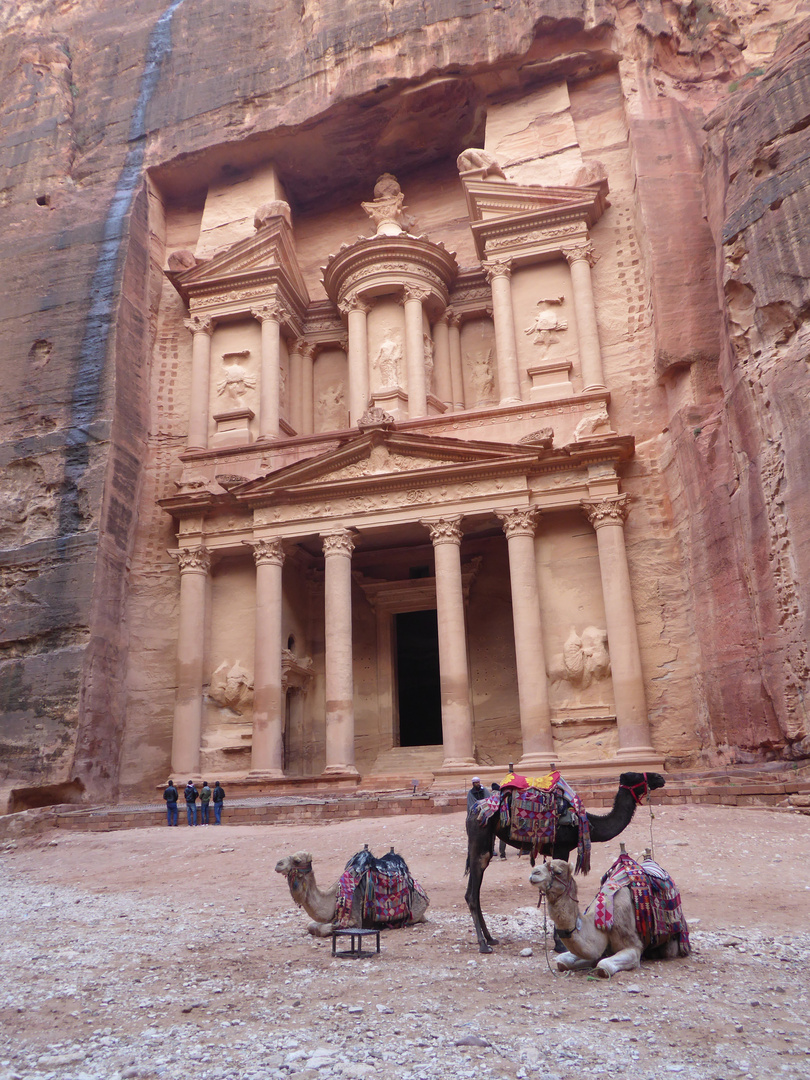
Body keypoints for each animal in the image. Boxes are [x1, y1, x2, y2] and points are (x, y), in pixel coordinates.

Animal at [276, 851, 432, 937]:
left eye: (297, 860)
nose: (278, 864)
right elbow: (311, 925)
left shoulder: (355, 919)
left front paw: (333, 927)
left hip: (414, 913)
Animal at [462, 768, 665, 954]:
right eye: (636, 775)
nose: (659, 777)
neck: (586, 823)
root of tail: (474, 810)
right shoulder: (561, 848)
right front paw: (560, 944)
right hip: (479, 837)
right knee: (472, 893)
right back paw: (483, 944)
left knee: (474, 891)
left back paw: (490, 938)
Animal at [533, 859, 691, 980]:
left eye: (558, 871)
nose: (534, 872)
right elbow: (562, 961)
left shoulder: (632, 946)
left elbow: (604, 966)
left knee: (668, 951)